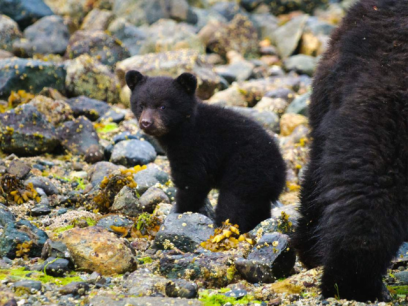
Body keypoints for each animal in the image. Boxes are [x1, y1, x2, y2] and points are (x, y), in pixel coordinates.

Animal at [126, 70, 286, 232]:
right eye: (141, 105)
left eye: (163, 106)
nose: (146, 122)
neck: (184, 128)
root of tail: (280, 173)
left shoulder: (194, 149)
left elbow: (192, 181)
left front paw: (181, 213)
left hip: (246, 172)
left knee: (233, 204)